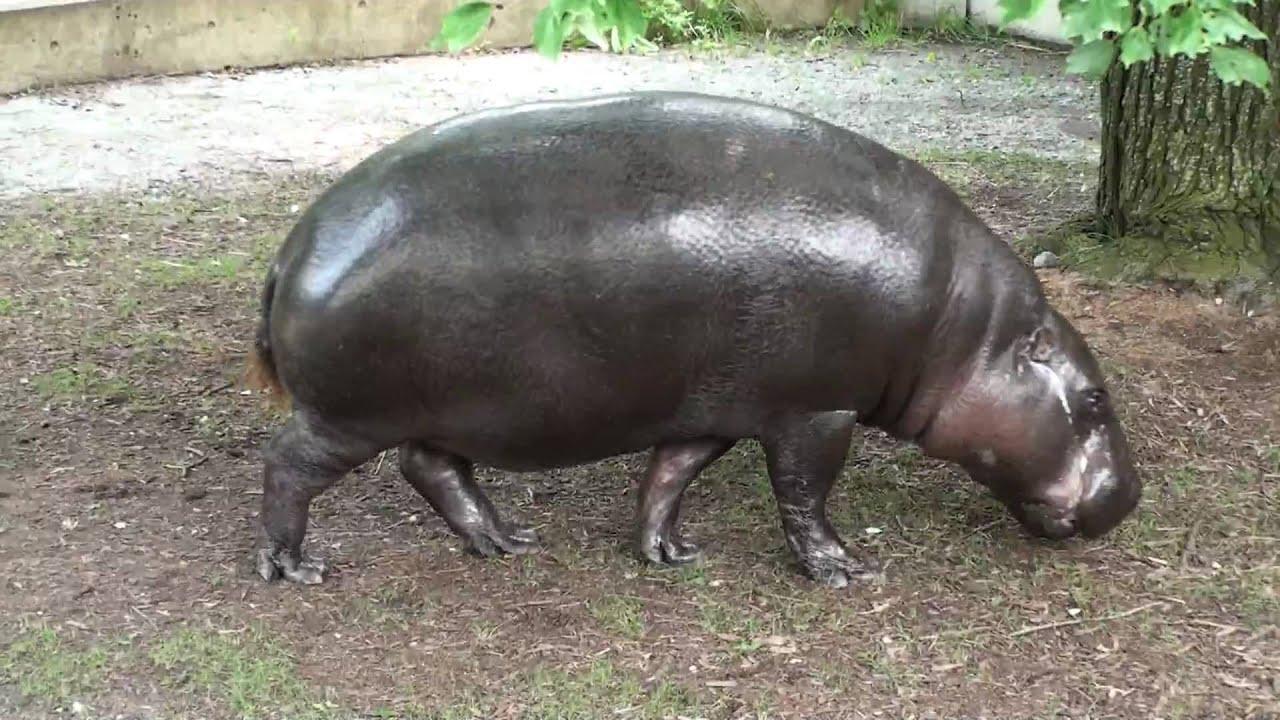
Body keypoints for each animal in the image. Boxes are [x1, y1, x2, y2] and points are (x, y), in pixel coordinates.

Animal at [246, 91, 1141, 588]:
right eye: (1095, 398)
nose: (1130, 498)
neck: (968, 330)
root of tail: (290, 250)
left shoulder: (717, 408)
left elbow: (669, 477)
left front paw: (669, 553)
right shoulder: (817, 411)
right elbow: (804, 495)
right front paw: (843, 571)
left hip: (434, 412)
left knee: (432, 468)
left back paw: (504, 543)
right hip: (346, 417)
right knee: (288, 466)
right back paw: (295, 569)